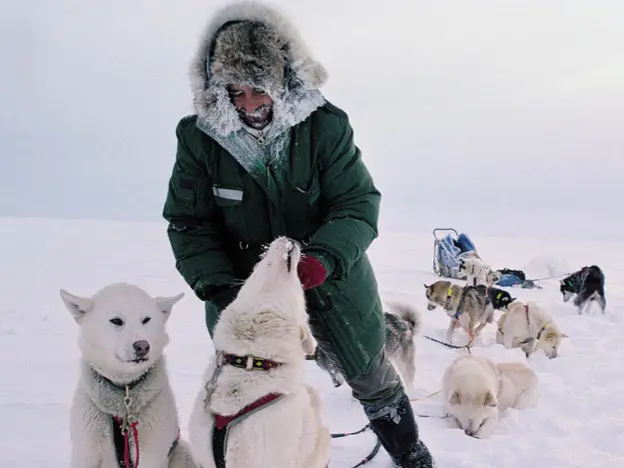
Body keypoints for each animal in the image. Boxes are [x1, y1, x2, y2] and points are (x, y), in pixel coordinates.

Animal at [60, 282, 197, 468]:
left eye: (146, 319)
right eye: (116, 321)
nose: (142, 346)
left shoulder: (150, 455)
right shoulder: (86, 454)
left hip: (181, 453)